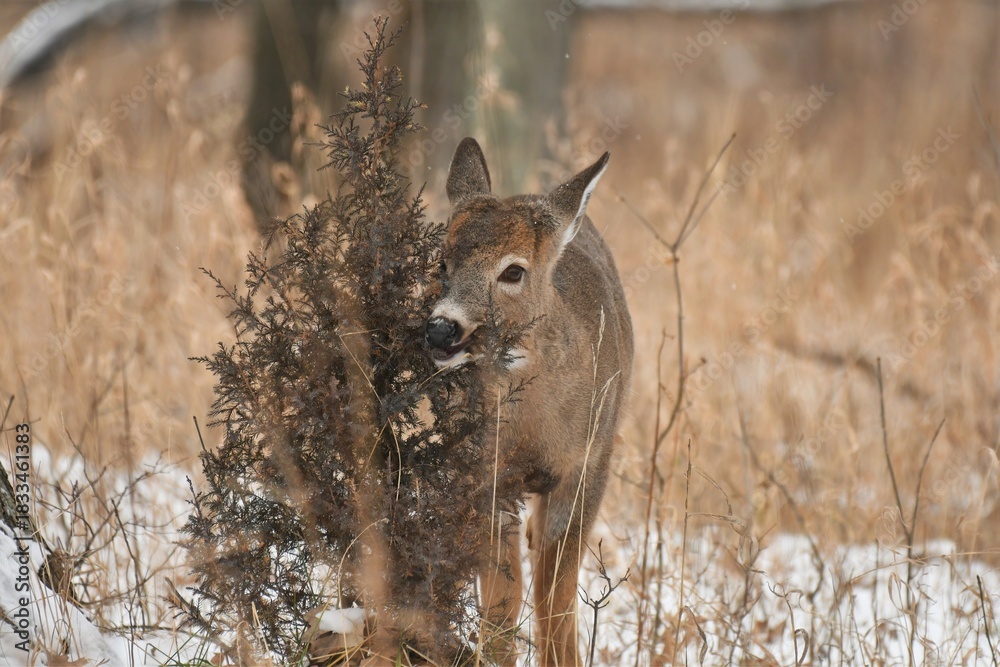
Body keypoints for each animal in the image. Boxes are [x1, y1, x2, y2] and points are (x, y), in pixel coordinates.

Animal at [425, 137, 633, 666]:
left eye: (514, 271)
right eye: (442, 262)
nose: (441, 328)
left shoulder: (590, 465)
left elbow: (554, 598)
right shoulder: (485, 473)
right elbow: (503, 599)